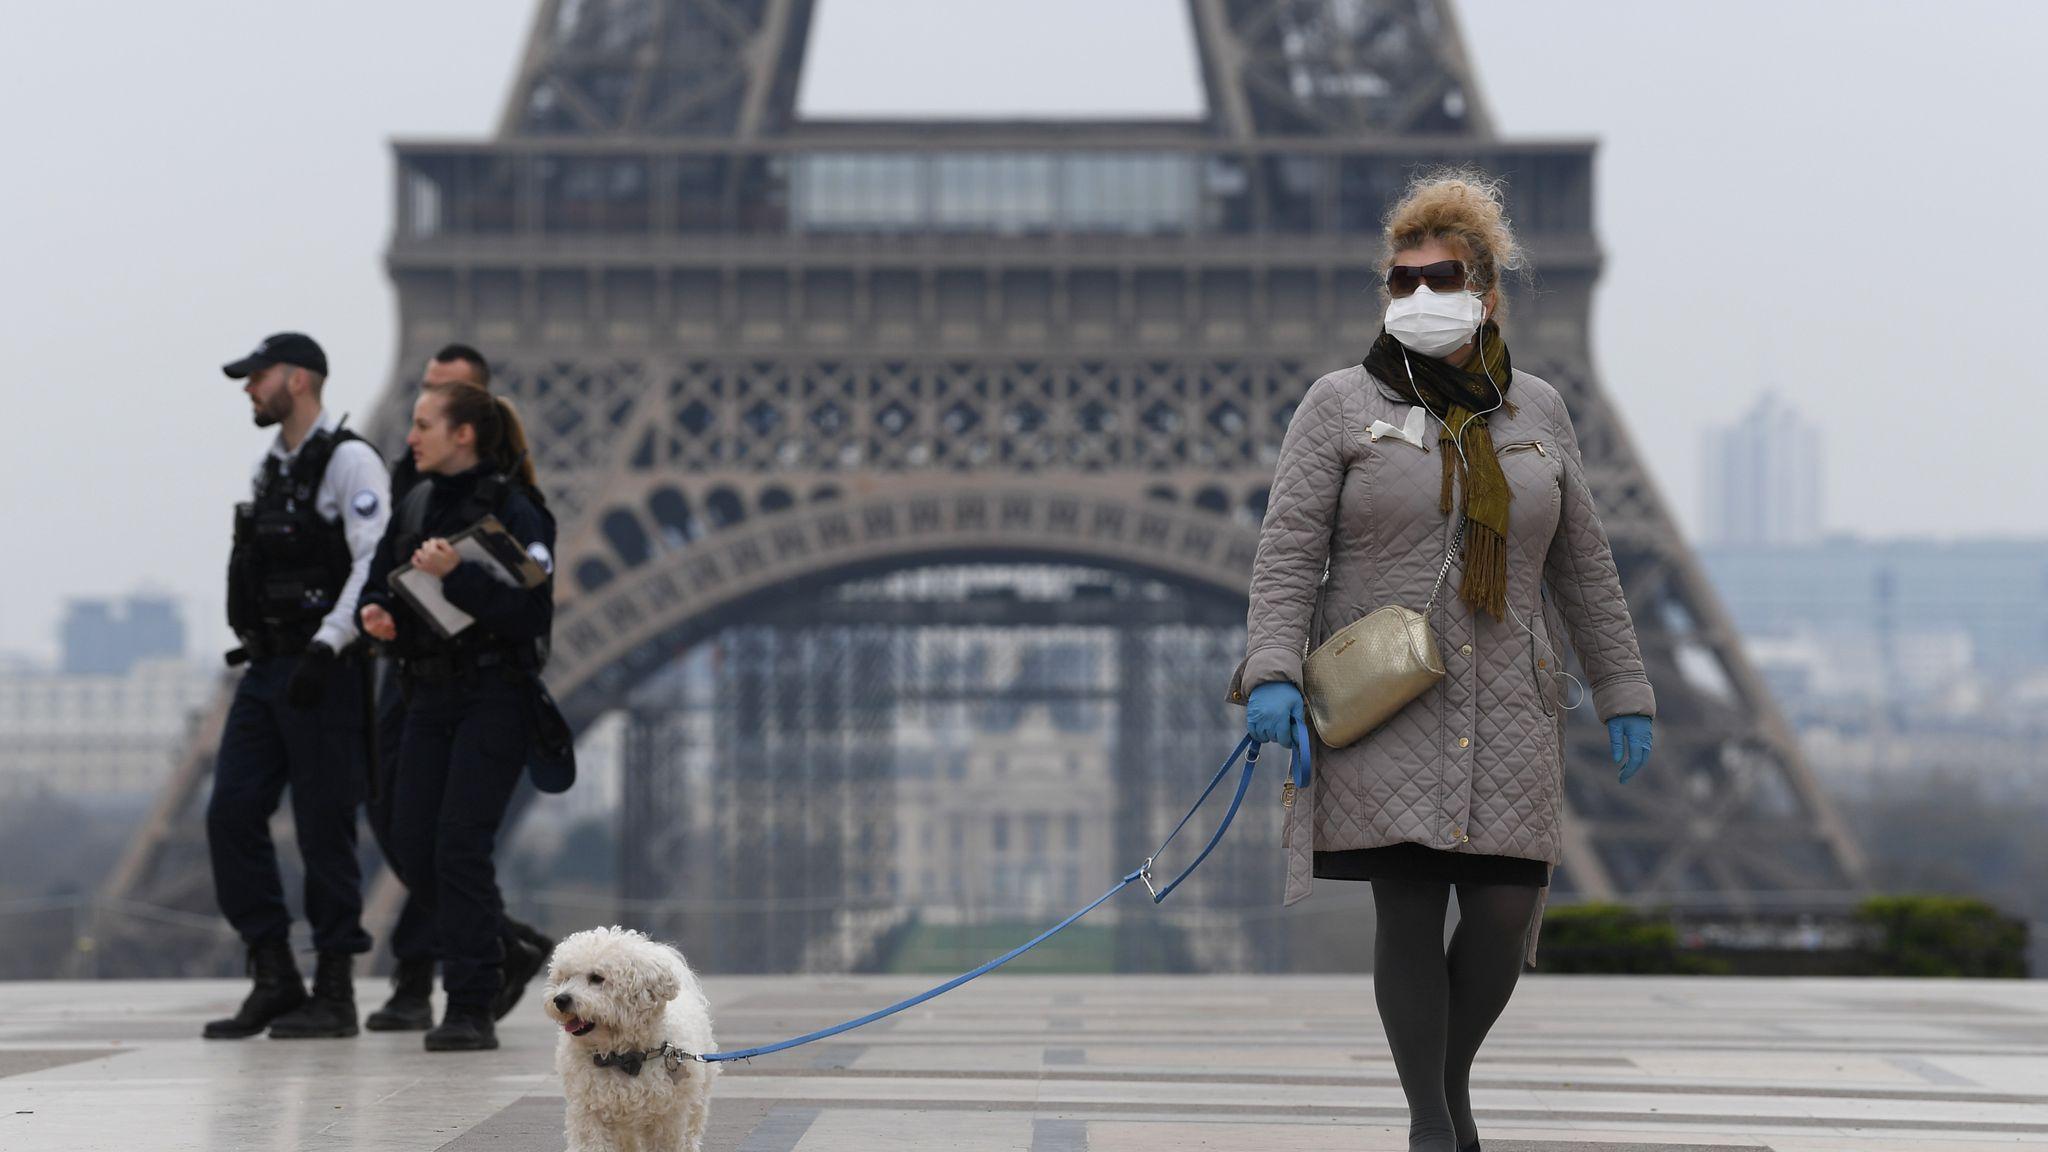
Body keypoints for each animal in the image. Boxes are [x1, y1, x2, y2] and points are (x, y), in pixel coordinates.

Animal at [544, 922, 720, 1147]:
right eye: (564, 978)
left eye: (596, 978)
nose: (560, 999)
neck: (622, 1056)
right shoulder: (588, 1112)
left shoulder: (667, 1119)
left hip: (697, 1102)